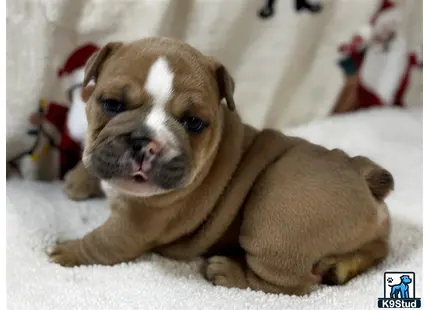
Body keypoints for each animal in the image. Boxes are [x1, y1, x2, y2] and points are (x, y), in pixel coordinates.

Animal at [50, 37, 394, 296]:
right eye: (112, 104)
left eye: (193, 122)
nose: (145, 142)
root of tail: (362, 174)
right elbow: (92, 156)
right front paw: (78, 180)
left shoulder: (135, 224)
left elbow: (100, 243)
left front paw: (65, 251)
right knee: (379, 248)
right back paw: (341, 267)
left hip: (275, 214)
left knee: (291, 285)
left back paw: (228, 273)